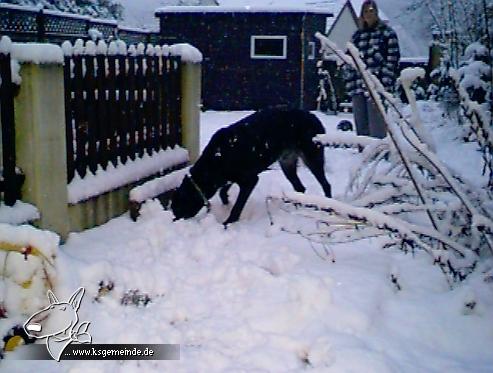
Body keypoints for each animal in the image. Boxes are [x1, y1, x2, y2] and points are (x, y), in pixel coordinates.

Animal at [170, 107, 330, 224]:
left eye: (177, 208)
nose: (174, 220)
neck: (215, 161)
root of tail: (314, 117)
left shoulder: (250, 180)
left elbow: (237, 207)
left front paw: (228, 223)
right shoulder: (230, 178)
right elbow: (223, 192)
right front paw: (226, 205)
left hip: (313, 156)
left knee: (325, 184)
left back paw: (328, 209)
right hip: (287, 163)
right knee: (300, 187)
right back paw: (296, 206)